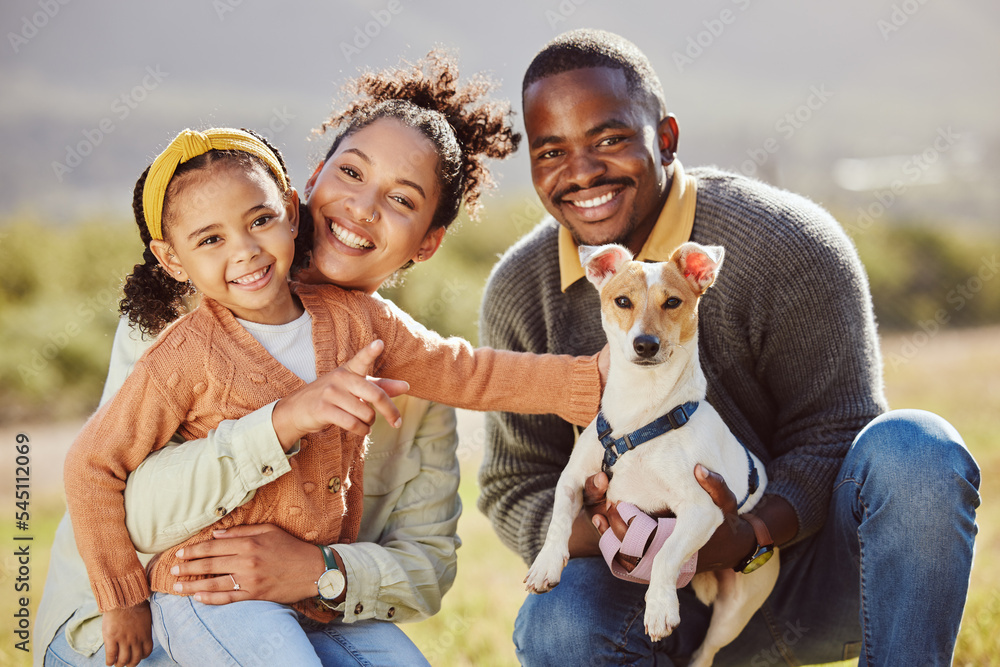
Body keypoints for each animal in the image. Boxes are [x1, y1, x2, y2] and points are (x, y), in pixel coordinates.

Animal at [524, 243, 780, 664]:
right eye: (622, 301)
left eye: (672, 302)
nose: (645, 344)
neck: (641, 413)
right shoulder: (574, 479)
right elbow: (558, 519)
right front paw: (545, 565)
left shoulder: (702, 508)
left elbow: (665, 555)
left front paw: (659, 607)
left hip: (736, 610)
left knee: (707, 650)